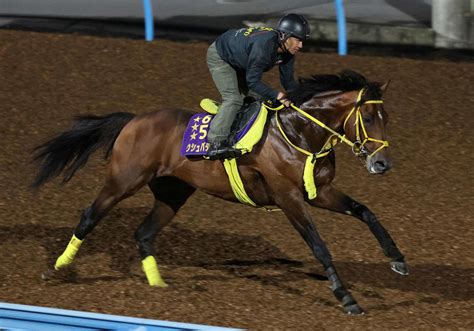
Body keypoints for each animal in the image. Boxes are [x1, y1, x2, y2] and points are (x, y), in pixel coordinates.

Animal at [33, 70, 410, 316]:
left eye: (387, 117)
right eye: (369, 117)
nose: (382, 164)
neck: (299, 132)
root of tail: (133, 120)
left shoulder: (319, 192)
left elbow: (365, 211)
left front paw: (397, 259)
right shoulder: (288, 197)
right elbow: (319, 246)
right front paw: (347, 298)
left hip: (173, 192)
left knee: (143, 233)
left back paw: (159, 287)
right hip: (123, 181)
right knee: (89, 216)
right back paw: (58, 268)